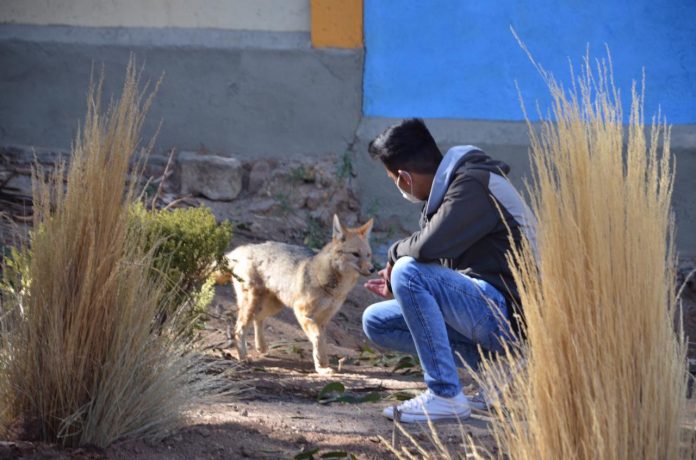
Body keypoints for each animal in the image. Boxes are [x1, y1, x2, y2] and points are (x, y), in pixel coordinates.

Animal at [222, 216, 376, 374]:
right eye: (356, 254)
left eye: (368, 255)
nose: (372, 269)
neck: (334, 288)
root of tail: (242, 248)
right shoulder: (303, 312)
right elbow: (317, 338)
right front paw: (321, 367)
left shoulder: (323, 319)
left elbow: (323, 343)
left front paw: (323, 364)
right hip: (253, 304)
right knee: (238, 329)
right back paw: (243, 357)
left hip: (274, 306)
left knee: (258, 319)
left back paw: (261, 347)